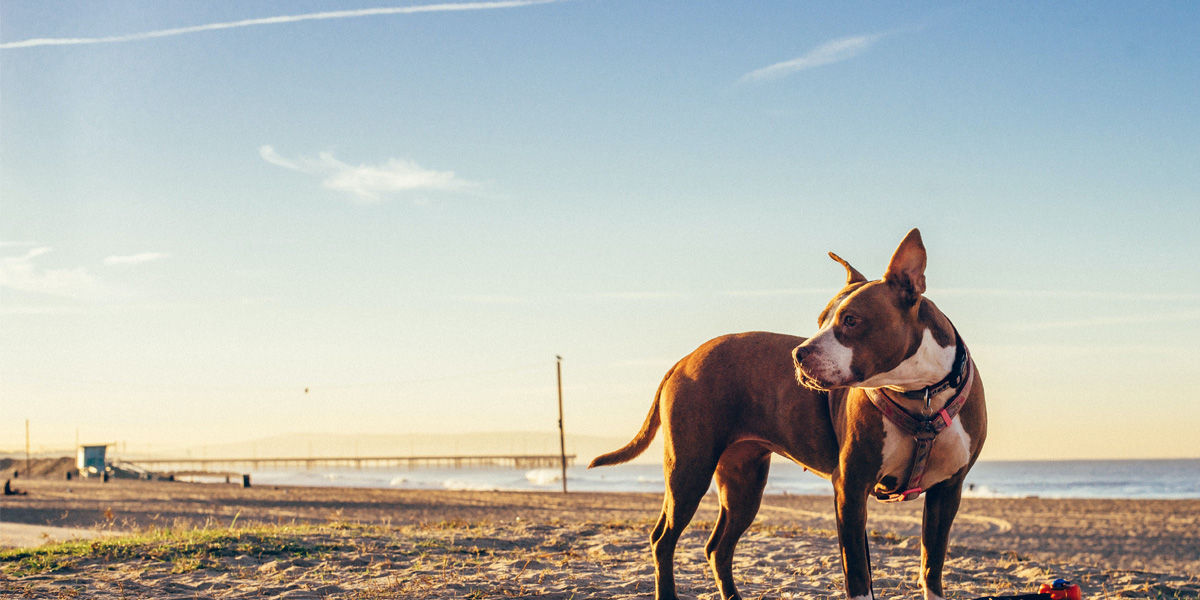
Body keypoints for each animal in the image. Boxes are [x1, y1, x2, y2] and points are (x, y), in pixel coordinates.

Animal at [588, 229, 984, 600]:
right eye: (821, 320)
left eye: (850, 320)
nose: (799, 354)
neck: (921, 393)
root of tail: (685, 359)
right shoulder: (850, 487)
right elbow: (858, 574)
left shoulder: (947, 491)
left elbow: (932, 567)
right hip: (689, 469)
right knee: (664, 539)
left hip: (744, 483)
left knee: (718, 547)